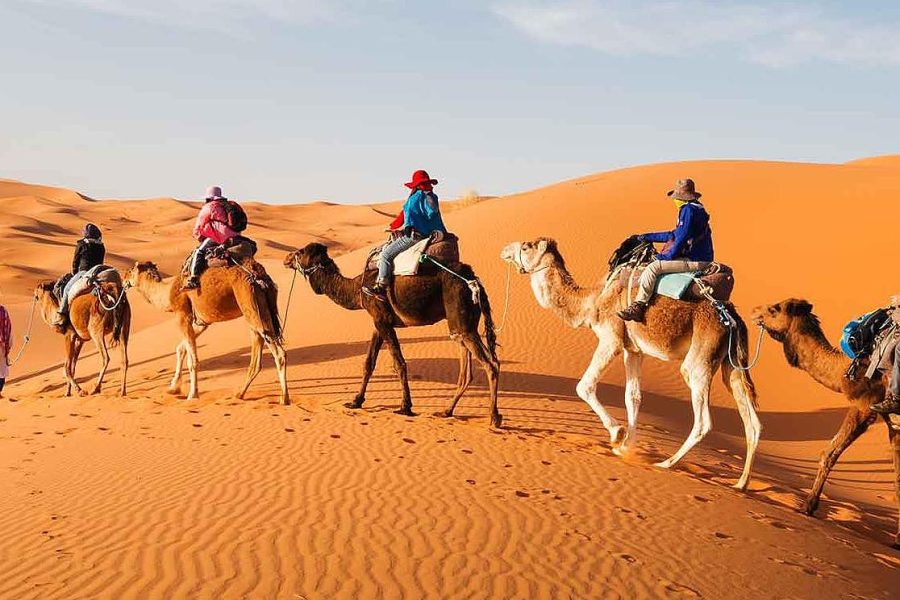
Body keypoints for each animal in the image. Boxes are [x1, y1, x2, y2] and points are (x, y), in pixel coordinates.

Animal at [124, 260, 289, 405]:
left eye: (131, 270)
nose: (124, 277)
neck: (168, 291)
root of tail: (261, 276)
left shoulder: (182, 314)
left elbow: (192, 360)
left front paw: (192, 395)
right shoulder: (202, 321)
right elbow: (181, 348)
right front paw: (173, 387)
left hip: (250, 303)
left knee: (278, 352)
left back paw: (284, 398)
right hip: (260, 311)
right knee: (257, 354)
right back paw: (239, 393)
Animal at [283, 243, 501, 426]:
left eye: (300, 252)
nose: (286, 258)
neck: (357, 288)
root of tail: (474, 281)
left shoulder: (383, 320)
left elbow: (399, 363)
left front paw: (405, 407)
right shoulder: (378, 322)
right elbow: (369, 363)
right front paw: (356, 401)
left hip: (460, 317)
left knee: (491, 364)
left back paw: (494, 417)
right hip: (464, 325)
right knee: (469, 369)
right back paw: (446, 411)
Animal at [500, 238, 761, 490]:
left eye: (527, 246)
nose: (505, 249)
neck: (593, 301)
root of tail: (733, 318)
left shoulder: (611, 339)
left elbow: (584, 386)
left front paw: (617, 435)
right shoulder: (634, 350)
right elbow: (632, 397)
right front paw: (627, 447)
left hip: (700, 358)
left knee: (703, 420)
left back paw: (666, 463)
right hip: (731, 363)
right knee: (752, 423)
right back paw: (741, 483)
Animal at [752, 298, 899, 548]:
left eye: (774, 309)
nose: (754, 311)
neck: (845, 369)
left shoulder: (865, 405)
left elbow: (829, 453)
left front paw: (808, 506)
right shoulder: (892, 420)